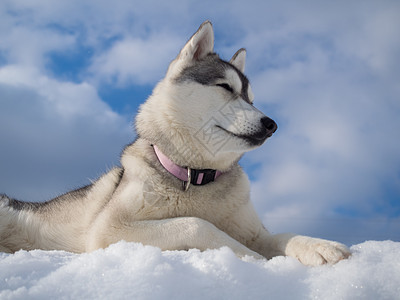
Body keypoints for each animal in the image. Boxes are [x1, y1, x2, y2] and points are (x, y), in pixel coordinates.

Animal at [0, 21, 350, 264]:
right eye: (225, 87)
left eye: (251, 98)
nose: (271, 124)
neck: (196, 176)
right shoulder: (109, 230)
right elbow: (197, 224)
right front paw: (250, 257)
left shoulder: (252, 229)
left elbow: (281, 236)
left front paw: (320, 245)